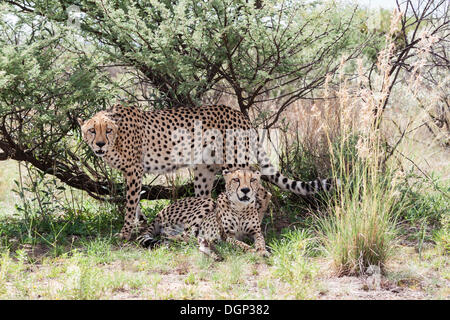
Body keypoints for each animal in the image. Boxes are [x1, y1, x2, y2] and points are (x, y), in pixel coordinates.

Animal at [78, 104, 338, 239]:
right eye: (92, 130)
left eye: (107, 130)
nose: (99, 144)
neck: (117, 137)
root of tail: (238, 112)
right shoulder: (130, 174)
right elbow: (135, 204)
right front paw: (140, 225)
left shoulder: (134, 170)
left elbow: (130, 203)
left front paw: (124, 233)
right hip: (204, 171)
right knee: (207, 200)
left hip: (235, 163)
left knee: (260, 190)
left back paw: (254, 221)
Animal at [137, 169, 270, 262]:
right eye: (236, 179)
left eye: (253, 180)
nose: (245, 190)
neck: (241, 208)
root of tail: (159, 213)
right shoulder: (227, 236)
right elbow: (241, 244)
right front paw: (252, 250)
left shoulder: (256, 231)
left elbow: (261, 241)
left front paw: (263, 251)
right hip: (207, 203)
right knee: (182, 237)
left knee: (171, 235)